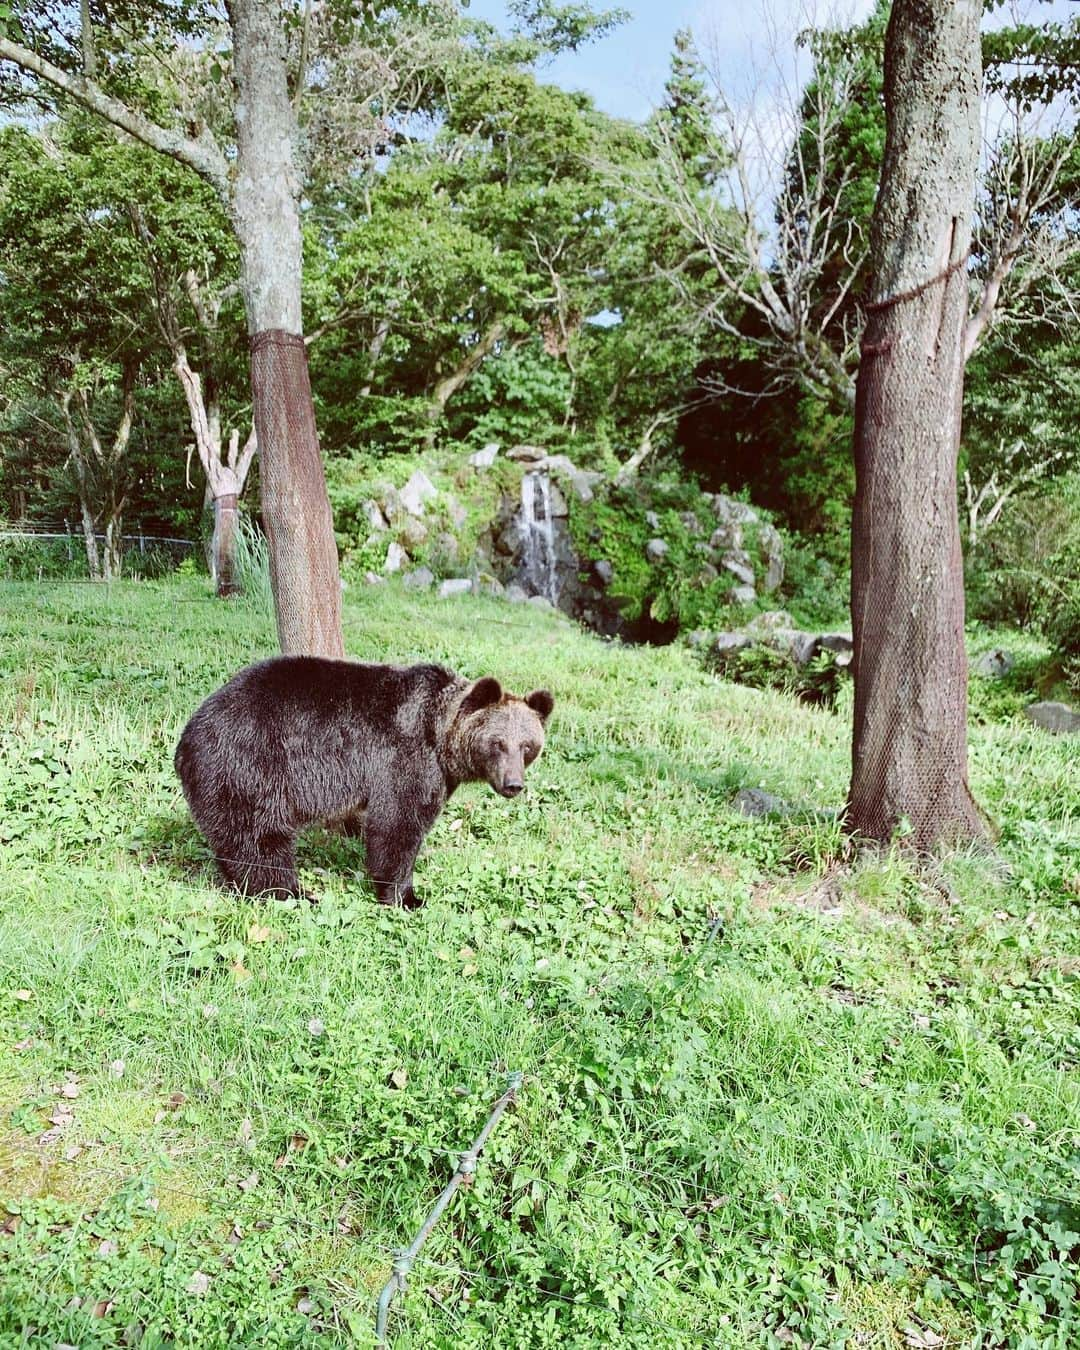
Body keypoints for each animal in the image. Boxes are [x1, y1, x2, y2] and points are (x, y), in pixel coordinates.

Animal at [175, 653, 556, 907]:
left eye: (527, 746)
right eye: (498, 743)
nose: (513, 784)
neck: (440, 736)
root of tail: (186, 738)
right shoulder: (406, 757)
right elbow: (397, 823)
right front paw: (406, 896)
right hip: (252, 764)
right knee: (261, 836)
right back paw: (290, 893)